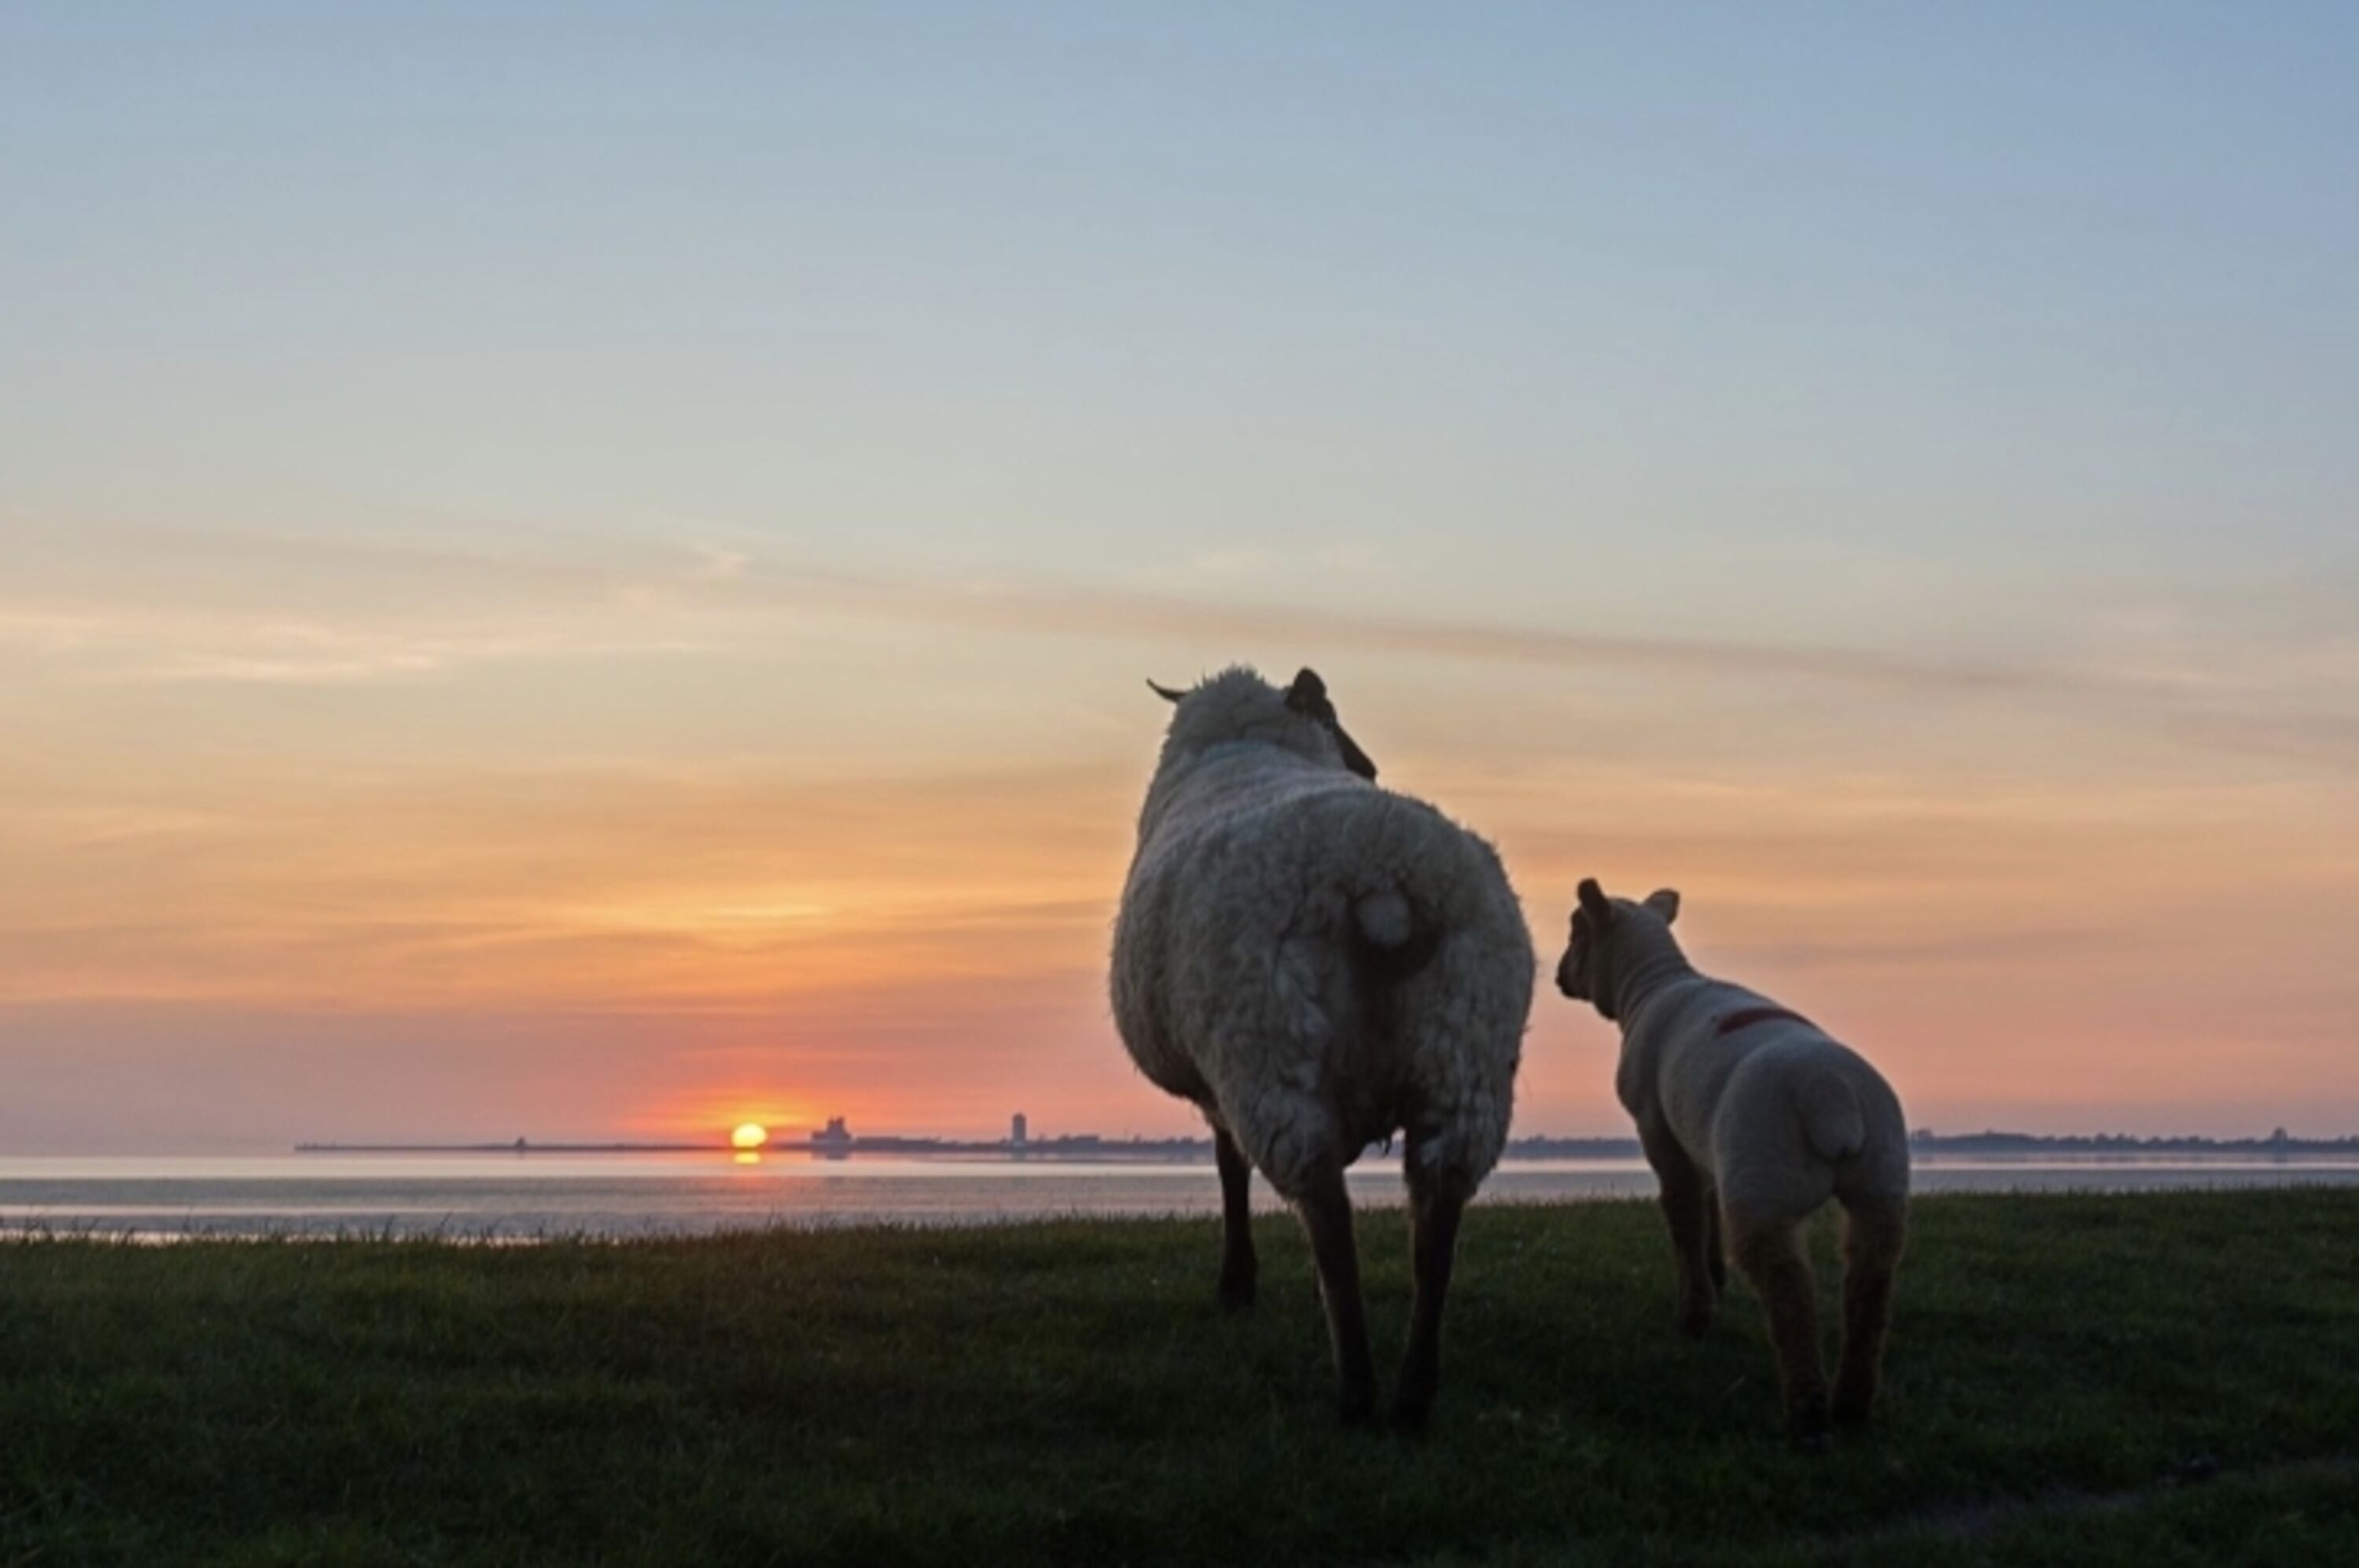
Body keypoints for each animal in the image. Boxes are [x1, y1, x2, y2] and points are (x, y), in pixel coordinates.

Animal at [1111, 665, 1534, 1428]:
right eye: (1335, 717)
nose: (1368, 766)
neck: (1244, 746)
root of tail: (1383, 882)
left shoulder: (1220, 1087)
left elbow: (1228, 1169)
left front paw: (1237, 1285)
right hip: (1467, 1049)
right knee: (1437, 1220)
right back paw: (1414, 1393)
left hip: (1268, 1048)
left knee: (1330, 1217)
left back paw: (1357, 1392)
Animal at [1554, 878, 1909, 1449]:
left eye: (1575, 931)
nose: (1560, 977)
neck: (1651, 984)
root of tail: (1830, 1096)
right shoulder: (1706, 1143)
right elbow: (1706, 1207)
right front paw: (1714, 1276)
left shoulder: (1658, 1127)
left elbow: (1683, 1215)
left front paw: (1697, 1312)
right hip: (1879, 1181)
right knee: (1871, 1281)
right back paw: (1852, 1404)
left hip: (1762, 1182)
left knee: (1788, 1289)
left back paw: (1808, 1414)